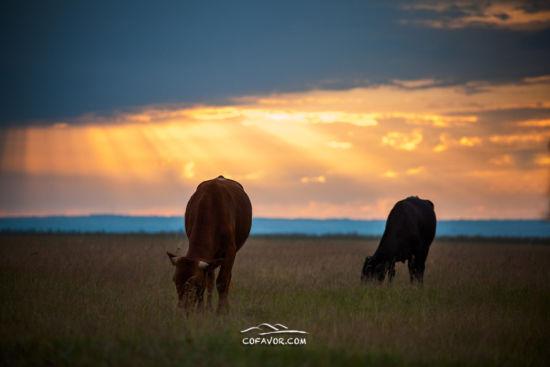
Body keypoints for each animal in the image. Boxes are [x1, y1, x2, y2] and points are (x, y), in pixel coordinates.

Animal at [167, 177, 253, 314]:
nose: (182, 310)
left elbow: (222, 282)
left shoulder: (230, 251)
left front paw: (221, 312)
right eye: (175, 280)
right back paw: (208, 307)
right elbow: (208, 282)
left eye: (194, 282)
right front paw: (201, 311)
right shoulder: (208, 258)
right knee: (211, 280)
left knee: (227, 279)